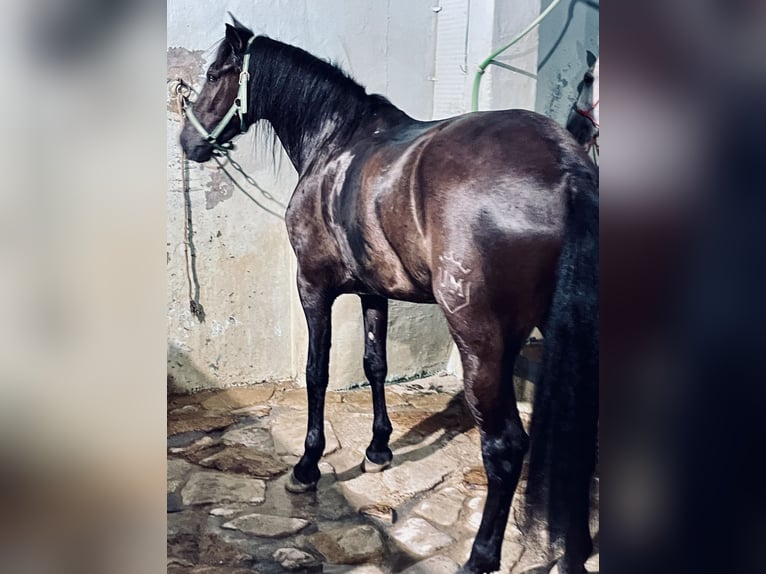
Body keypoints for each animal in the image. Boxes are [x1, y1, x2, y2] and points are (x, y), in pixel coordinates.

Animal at [179, 18, 598, 574]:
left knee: (506, 446)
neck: (337, 141)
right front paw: (378, 449)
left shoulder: (313, 287)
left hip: (482, 344)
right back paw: (576, 547)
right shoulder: (373, 292)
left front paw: (307, 466)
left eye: (212, 74)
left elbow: (317, 372)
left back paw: (481, 555)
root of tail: (567, 168)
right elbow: (374, 364)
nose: (187, 142)